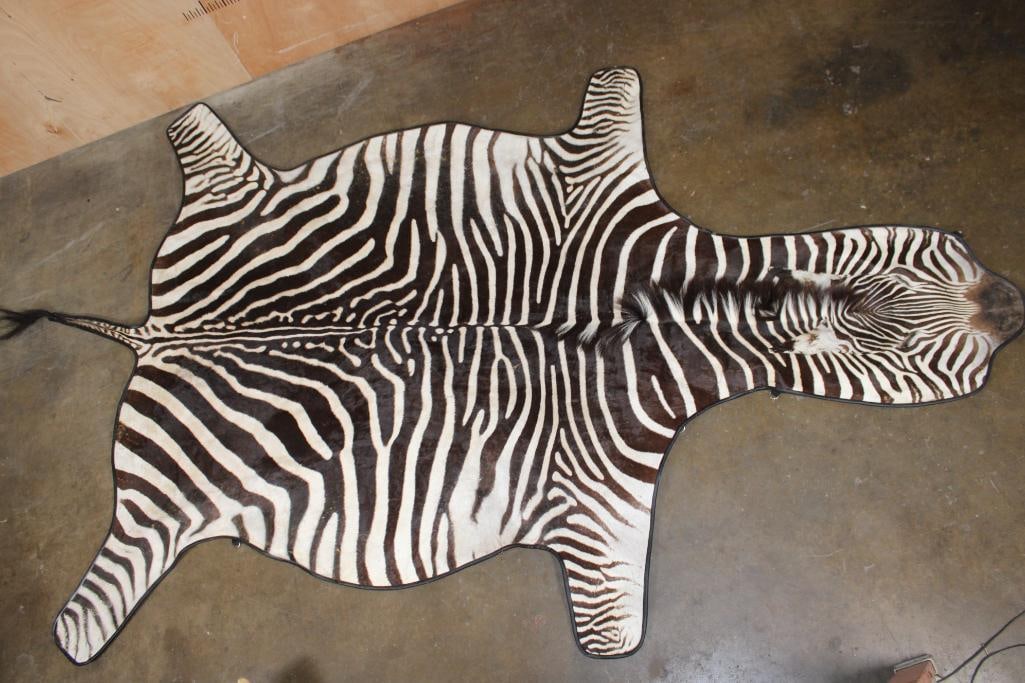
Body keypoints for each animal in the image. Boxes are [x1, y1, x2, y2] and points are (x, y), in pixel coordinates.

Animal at [1, 67, 1022, 664]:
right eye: (936, 355)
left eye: (949, 248)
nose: (1013, 300)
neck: (678, 306)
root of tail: (159, 331)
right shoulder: (601, 495)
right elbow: (616, 621)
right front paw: (611, 643)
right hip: (167, 509)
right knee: (101, 596)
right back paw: (78, 633)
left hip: (234, 216)